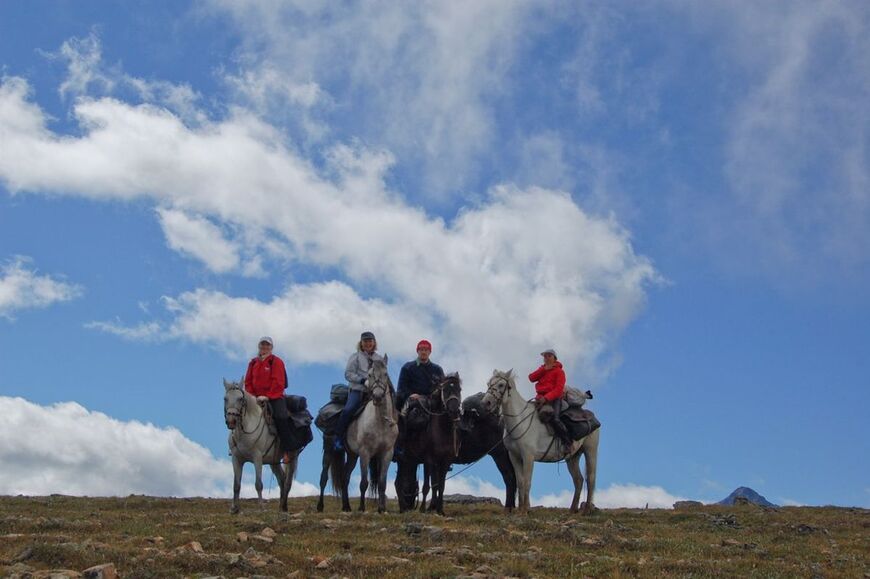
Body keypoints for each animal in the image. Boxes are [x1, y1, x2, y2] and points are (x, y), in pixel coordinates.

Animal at [225, 380, 300, 512]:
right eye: (225, 398)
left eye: (240, 399)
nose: (231, 421)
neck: (244, 433)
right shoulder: (236, 459)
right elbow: (236, 485)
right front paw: (234, 508)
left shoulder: (257, 458)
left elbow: (258, 484)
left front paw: (261, 507)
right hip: (274, 462)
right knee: (282, 479)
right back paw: (280, 506)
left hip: (292, 456)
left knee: (287, 482)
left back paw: (284, 506)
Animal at [342, 356, 400, 516]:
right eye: (369, 375)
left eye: (385, 374)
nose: (378, 397)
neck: (380, 422)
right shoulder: (365, 453)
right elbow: (364, 483)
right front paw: (362, 508)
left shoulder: (387, 454)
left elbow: (382, 483)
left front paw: (382, 509)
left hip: (352, 455)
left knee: (345, 477)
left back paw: (346, 506)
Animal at [484, 370, 600, 516]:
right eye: (488, 383)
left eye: (501, 385)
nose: (486, 402)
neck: (519, 421)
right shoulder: (514, 456)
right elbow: (520, 482)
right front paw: (521, 510)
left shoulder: (528, 456)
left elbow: (527, 482)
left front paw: (525, 510)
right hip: (573, 457)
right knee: (578, 480)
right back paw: (572, 509)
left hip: (590, 451)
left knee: (591, 478)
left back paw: (587, 510)